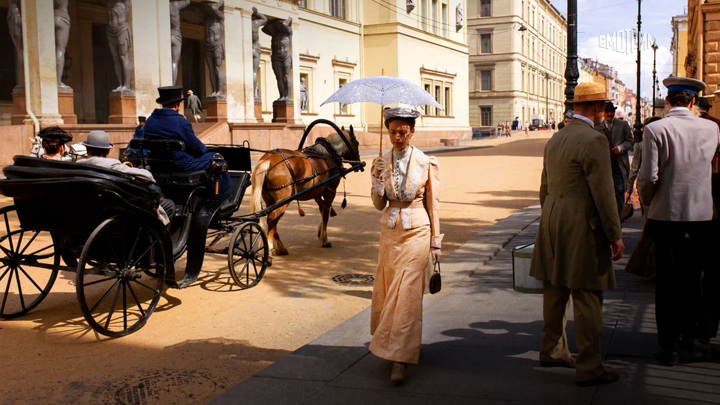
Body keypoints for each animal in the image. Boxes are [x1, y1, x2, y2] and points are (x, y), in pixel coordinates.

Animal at [252, 128, 360, 258]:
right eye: (357, 143)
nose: (359, 164)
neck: (327, 154)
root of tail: (268, 159)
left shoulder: (316, 192)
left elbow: (322, 208)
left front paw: (320, 232)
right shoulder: (330, 191)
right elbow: (325, 213)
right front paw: (325, 239)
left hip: (270, 200)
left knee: (272, 219)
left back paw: (281, 248)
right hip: (283, 199)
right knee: (272, 218)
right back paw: (269, 250)